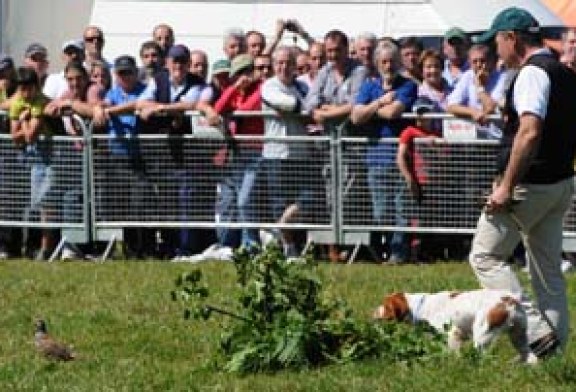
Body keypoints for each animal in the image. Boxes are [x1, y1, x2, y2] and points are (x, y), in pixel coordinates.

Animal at [374, 290, 536, 362]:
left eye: (385, 306)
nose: (373, 312)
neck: (420, 307)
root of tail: (510, 301)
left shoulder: (451, 334)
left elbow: (453, 353)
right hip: (519, 336)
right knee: (531, 357)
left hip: (482, 337)